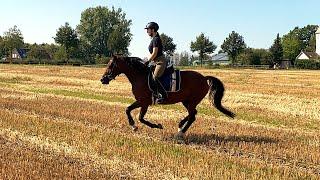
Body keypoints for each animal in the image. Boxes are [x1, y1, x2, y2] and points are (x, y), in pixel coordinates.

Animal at [100, 54, 235, 138]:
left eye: (111, 65)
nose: (103, 79)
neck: (139, 76)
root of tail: (204, 78)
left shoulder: (144, 102)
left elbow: (141, 118)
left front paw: (156, 126)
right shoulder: (140, 101)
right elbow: (128, 109)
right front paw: (133, 126)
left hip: (192, 101)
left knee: (192, 116)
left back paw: (180, 133)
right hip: (186, 101)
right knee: (193, 114)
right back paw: (180, 126)